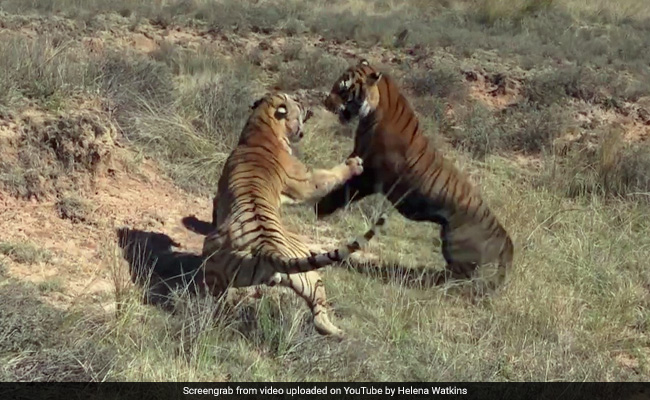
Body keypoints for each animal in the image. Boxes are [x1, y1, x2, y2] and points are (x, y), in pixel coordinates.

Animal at [202, 91, 387, 338]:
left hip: (308, 277)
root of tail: (268, 251)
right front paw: (354, 164)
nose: (308, 108)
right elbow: (328, 175)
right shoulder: (306, 180)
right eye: (297, 103)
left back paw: (337, 333)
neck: (262, 128)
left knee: (318, 316)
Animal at [315, 60, 514, 293]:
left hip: (456, 248)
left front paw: (318, 208)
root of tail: (504, 236)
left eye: (343, 89)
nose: (326, 101)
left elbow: (343, 191)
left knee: (464, 282)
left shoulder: (369, 175)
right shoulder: (356, 156)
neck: (372, 111)